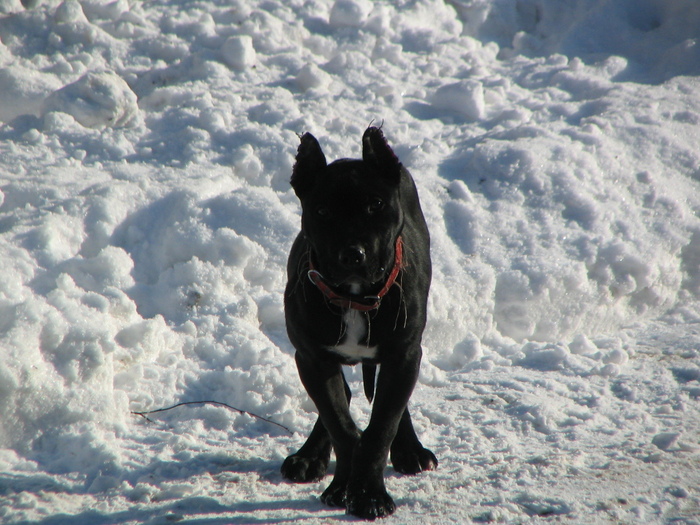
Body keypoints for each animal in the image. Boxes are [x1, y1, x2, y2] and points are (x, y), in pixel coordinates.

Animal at [280, 126, 434, 516]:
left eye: (375, 205)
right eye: (321, 210)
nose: (352, 254)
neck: (353, 297)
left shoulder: (403, 354)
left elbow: (381, 427)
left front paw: (370, 495)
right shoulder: (312, 359)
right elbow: (341, 424)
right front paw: (345, 486)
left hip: (404, 354)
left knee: (392, 404)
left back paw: (410, 450)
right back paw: (308, 458)